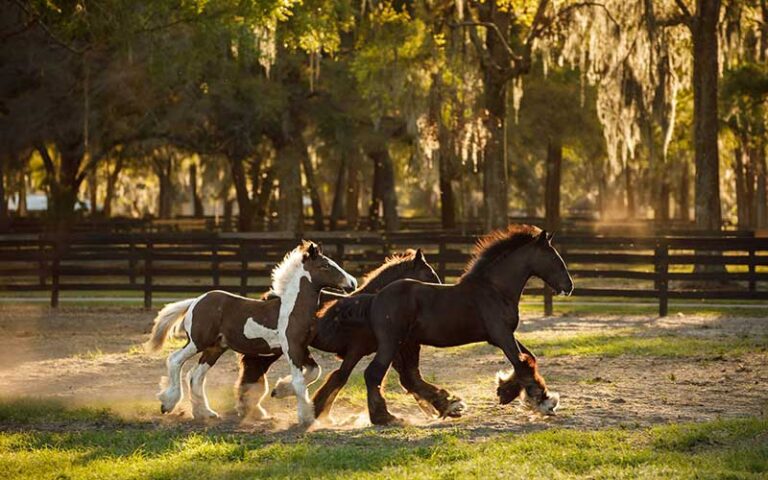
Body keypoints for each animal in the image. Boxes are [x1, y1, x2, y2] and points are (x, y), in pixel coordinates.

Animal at [143, 242, 354, 426]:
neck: (292, 309)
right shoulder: (291, 347)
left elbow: (314, 372)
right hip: (198, 342)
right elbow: (300, 380)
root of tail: (195, 301)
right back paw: (168, 403)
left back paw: (205, 413)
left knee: (195, 376)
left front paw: (280, 390)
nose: (352, 283)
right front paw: (306, 418)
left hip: (215, 348)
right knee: (175, 360)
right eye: (325, 265)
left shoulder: (302, 348)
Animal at [234, 249, 456, 422]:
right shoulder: (356, 350)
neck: (368, 306)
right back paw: (253, 405)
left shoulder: (385, 347)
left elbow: (408, 378)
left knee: (253, 368)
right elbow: (339, 377)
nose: (441, 294)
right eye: (429, 274)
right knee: (254, 366)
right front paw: (317, 412)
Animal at [364, 225, 572, 424]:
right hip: (391, 343)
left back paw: (445, 406)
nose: (569, 286)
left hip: (404, 344)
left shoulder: (502, 335)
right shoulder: (501, 335)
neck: (495, 290)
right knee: (374, 373)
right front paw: (542, 402)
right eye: (554, 258)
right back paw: (385, 417)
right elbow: (522, 363)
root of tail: (375, 297)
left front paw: (506, 391)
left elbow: (529, 359)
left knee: (406, 376)